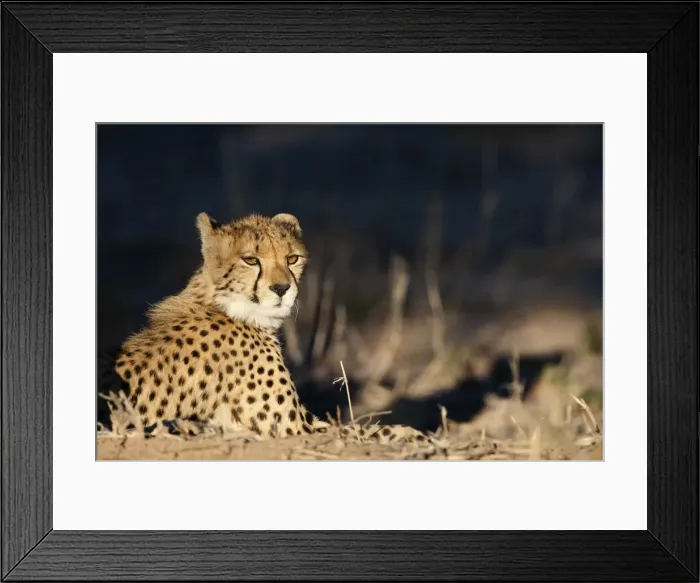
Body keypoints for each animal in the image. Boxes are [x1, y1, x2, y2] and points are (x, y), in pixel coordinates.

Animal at [97, 211, 435, 447]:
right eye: (250, 260)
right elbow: (368, 431)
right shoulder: (294, 429)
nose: (282, 288)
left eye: (292, 258)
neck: (227, 305)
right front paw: (417, 436)